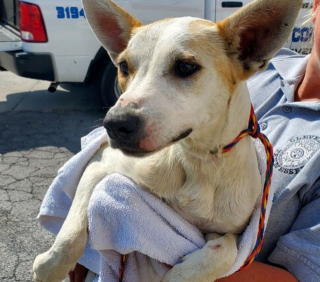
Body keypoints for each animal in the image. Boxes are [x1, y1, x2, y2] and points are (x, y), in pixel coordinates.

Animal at [32, 0, 302, 280]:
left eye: (185, 67)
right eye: (124, 67)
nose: (115, 124)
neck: (198, 163)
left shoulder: (236, 233)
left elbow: (228, 251)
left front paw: (183, 274)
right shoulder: (101, 164)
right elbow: (72, 227)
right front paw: (50, 267)